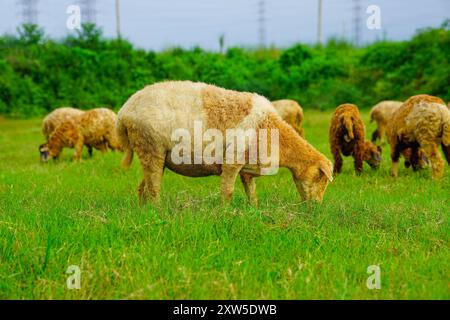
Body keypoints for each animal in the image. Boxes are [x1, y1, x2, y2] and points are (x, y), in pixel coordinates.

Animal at [116, 80, 334, 205]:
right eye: (321, 177)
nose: (315, 207)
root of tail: (124, 112)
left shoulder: (248, 168)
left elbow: (252, 193)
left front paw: (253, 211)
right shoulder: (231, 161)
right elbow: (227, 192)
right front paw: (225, 215)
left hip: (154, 154)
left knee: (143, 188)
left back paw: (144, 211)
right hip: (150, 145)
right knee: (154, 189)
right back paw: (158, 211)